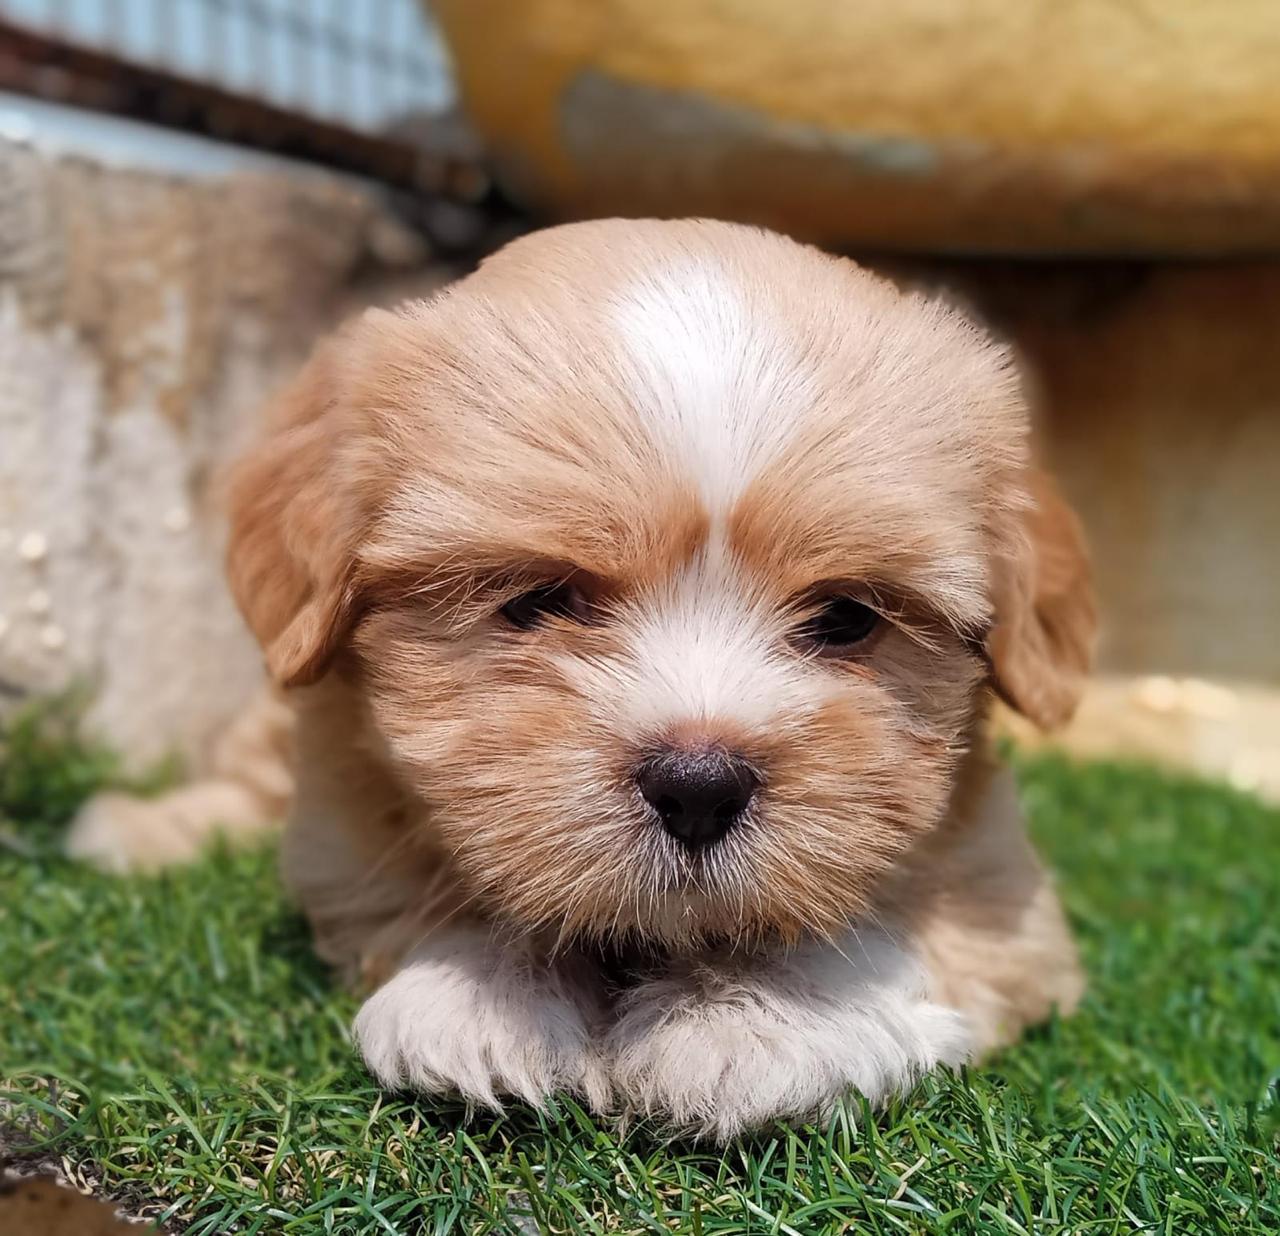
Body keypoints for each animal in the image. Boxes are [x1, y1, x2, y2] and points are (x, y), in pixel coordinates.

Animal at [97, 217, 1100, 1136]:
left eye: (847, 618)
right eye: (541, 601)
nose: (700, 785)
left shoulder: (1003, 894)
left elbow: (888, 932)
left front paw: (759, 1021)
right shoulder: (348, 835)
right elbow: (434, 878)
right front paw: (482, 998)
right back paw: (136, 832)